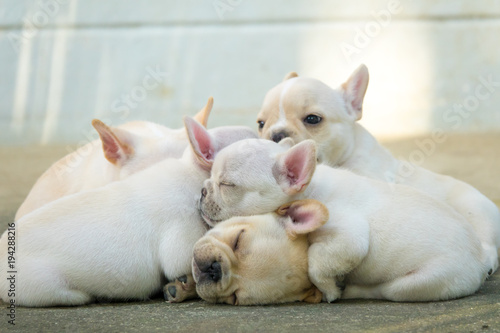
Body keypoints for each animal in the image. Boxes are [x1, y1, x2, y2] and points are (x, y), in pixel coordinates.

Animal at [194, 137, 488, 304]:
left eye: (227, 184)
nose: (202, 190)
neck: (311, 188)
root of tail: (478, 258)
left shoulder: (349, 236)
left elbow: (317, 263)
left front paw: (329, 289)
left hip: (420, 283)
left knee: (391, 290)